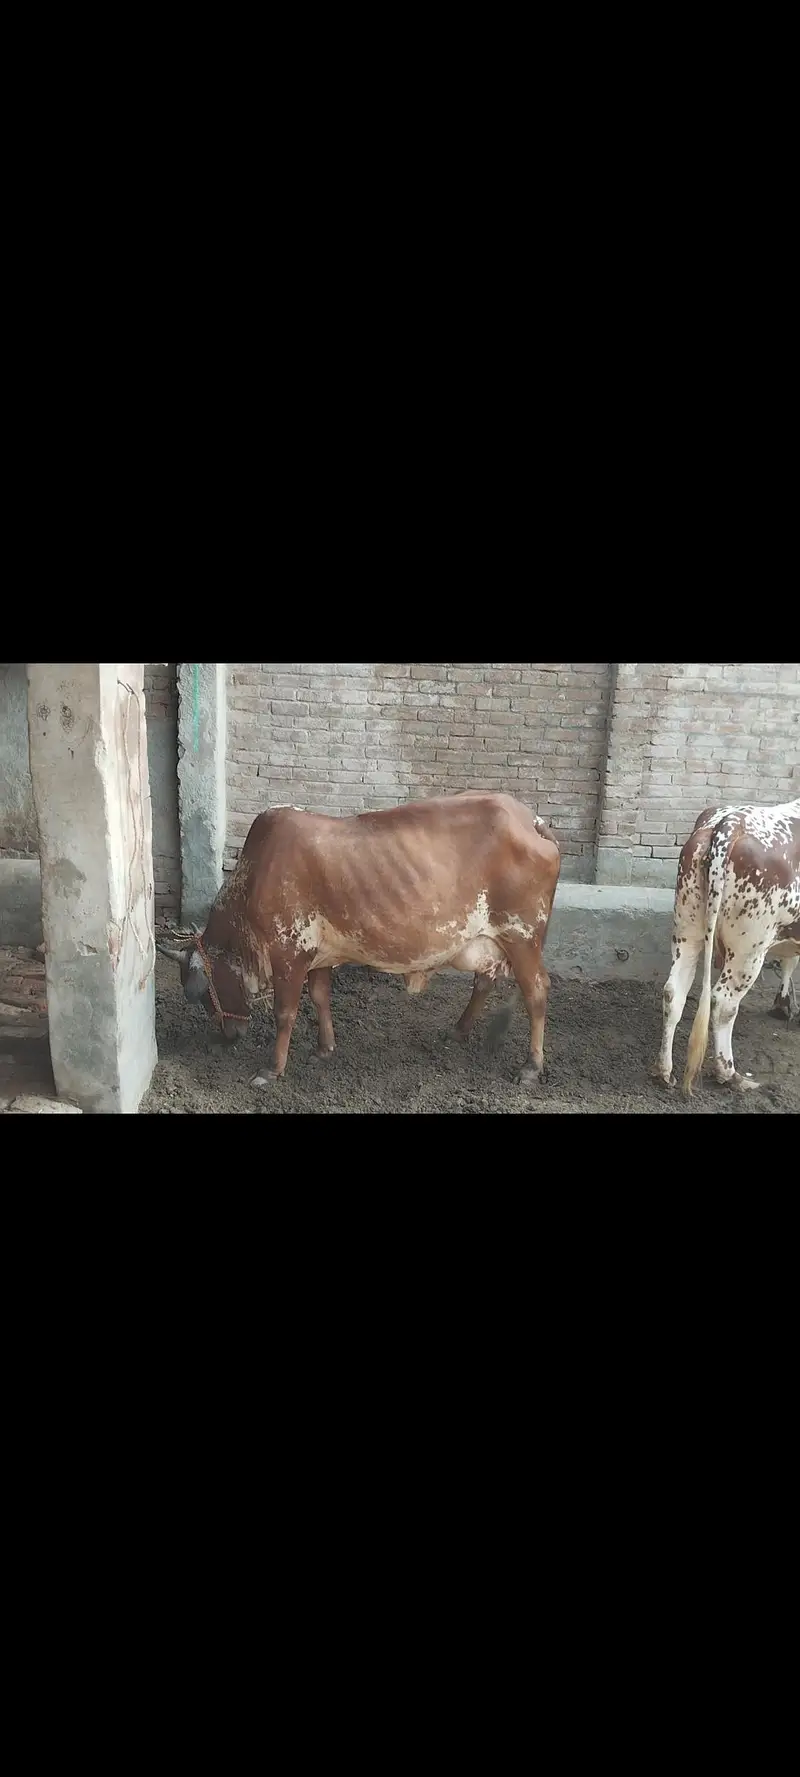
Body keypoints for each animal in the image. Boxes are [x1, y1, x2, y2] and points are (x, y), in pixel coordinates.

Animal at [158, 791, 561, 1088]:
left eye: (199, 994)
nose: (230, 1034)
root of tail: (531, 820)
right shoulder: (317, 956)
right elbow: (320, 997)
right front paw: (324, 1048)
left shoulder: (288, 955)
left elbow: (285, 1013)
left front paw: (271, 1069)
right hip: (487, 940)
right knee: (485, 981)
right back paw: (458, 1032)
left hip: (522, 935)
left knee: (536, 991)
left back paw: (531, 1066)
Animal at [654, 796, 800, 1095]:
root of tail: (729, 823)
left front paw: (782, 1005)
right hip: (749, 947)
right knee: (723, 1002)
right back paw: (730, 1074)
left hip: (687, 928)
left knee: (674, 991)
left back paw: (665, 1071)